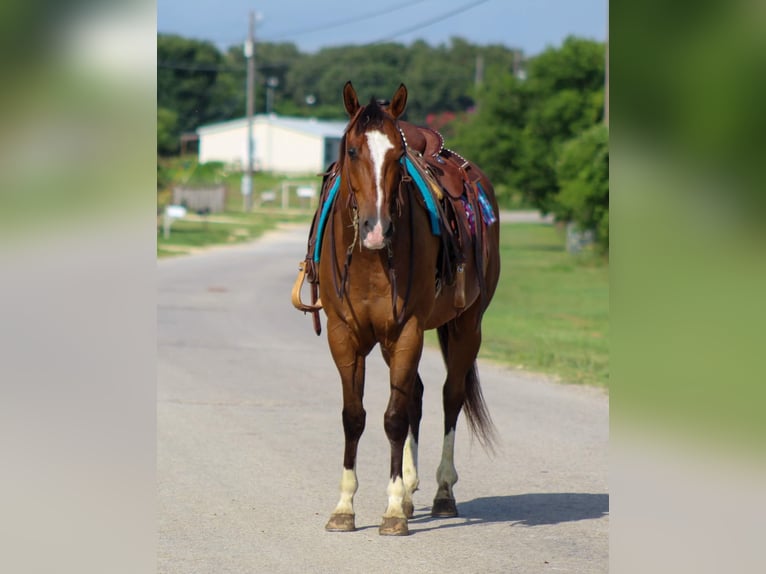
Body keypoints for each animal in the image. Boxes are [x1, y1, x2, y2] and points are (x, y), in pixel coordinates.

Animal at [294, 82, 500, 536]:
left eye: (397, 155)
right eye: (352, 150)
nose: (376, 229)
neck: (370, 259)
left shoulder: (407, 330)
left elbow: (393, 417)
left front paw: (391, 510)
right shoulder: (344, 334)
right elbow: (354, 416)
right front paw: (345, 507)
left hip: (466, 326)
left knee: (449, 397)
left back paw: (442, 493)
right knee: (418, 396)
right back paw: (409, 490)